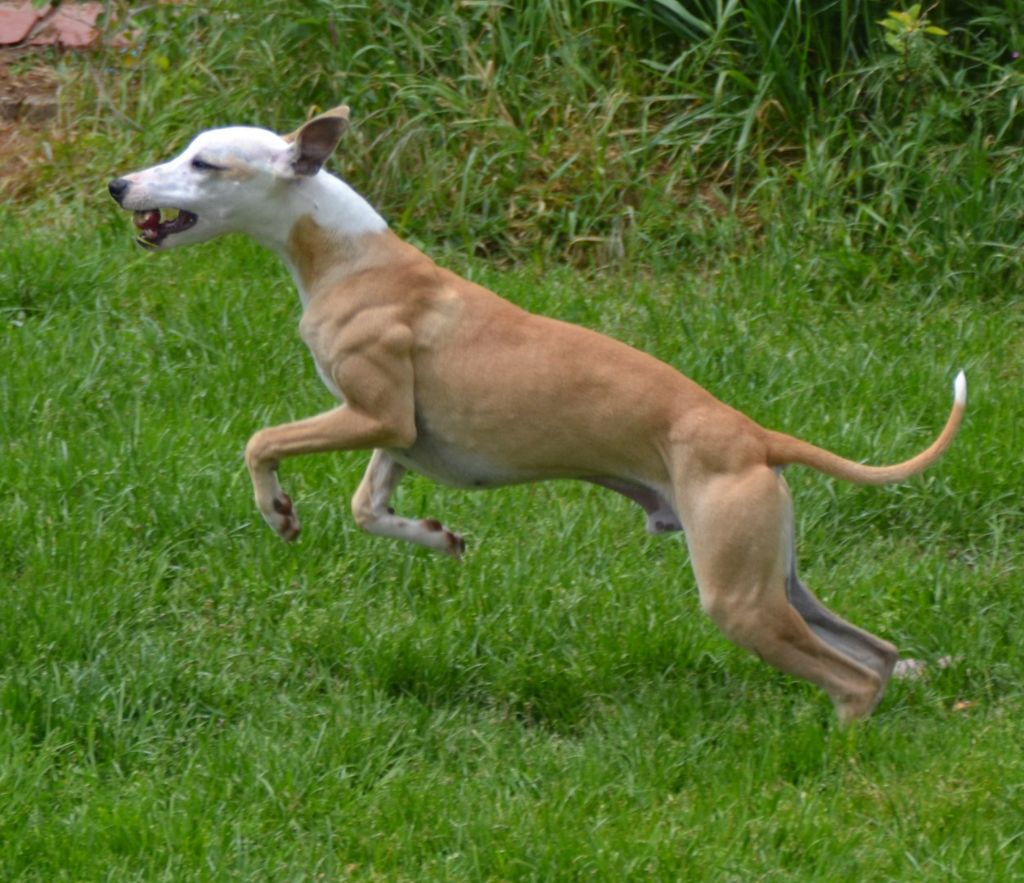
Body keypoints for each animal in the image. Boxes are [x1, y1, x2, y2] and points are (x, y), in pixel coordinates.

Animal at [108, 105, 966, 722]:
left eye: (204, 163)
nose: (119, 185)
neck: (350, 256)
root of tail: (755, 435)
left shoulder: (370, 414)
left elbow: (262, 442)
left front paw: (279, 512)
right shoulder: (400, 437)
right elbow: (367, 508)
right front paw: (437, 537)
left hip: (738, 597)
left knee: (850, 677)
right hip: (773, 577)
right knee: (873, 651)